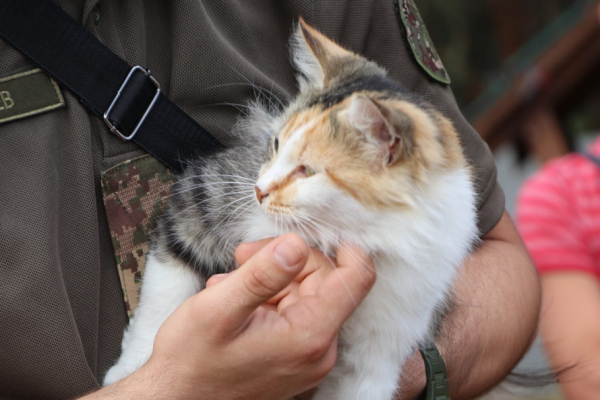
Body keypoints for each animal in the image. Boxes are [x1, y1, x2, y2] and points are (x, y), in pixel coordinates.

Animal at [103, 17, 478, 398]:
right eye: (275, 144)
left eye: (308, 171)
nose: (258, 191)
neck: (346, 232)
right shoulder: (201, 197)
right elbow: (163, 290)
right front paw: (134, 367)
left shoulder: (377, 355)